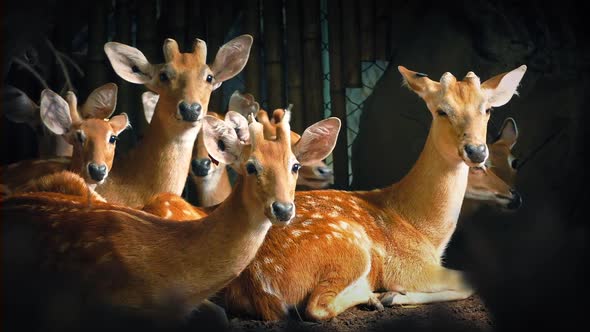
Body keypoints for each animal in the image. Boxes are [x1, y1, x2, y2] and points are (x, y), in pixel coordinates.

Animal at [224, 63, 528, 320]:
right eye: (442, 110)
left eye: (487, 109)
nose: (476, 150)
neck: (426, 231)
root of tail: (261, 290)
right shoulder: (409, 266)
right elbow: (470, 279)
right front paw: (393, 295)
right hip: (349, 246)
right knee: (317, 307)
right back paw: (373, 296)